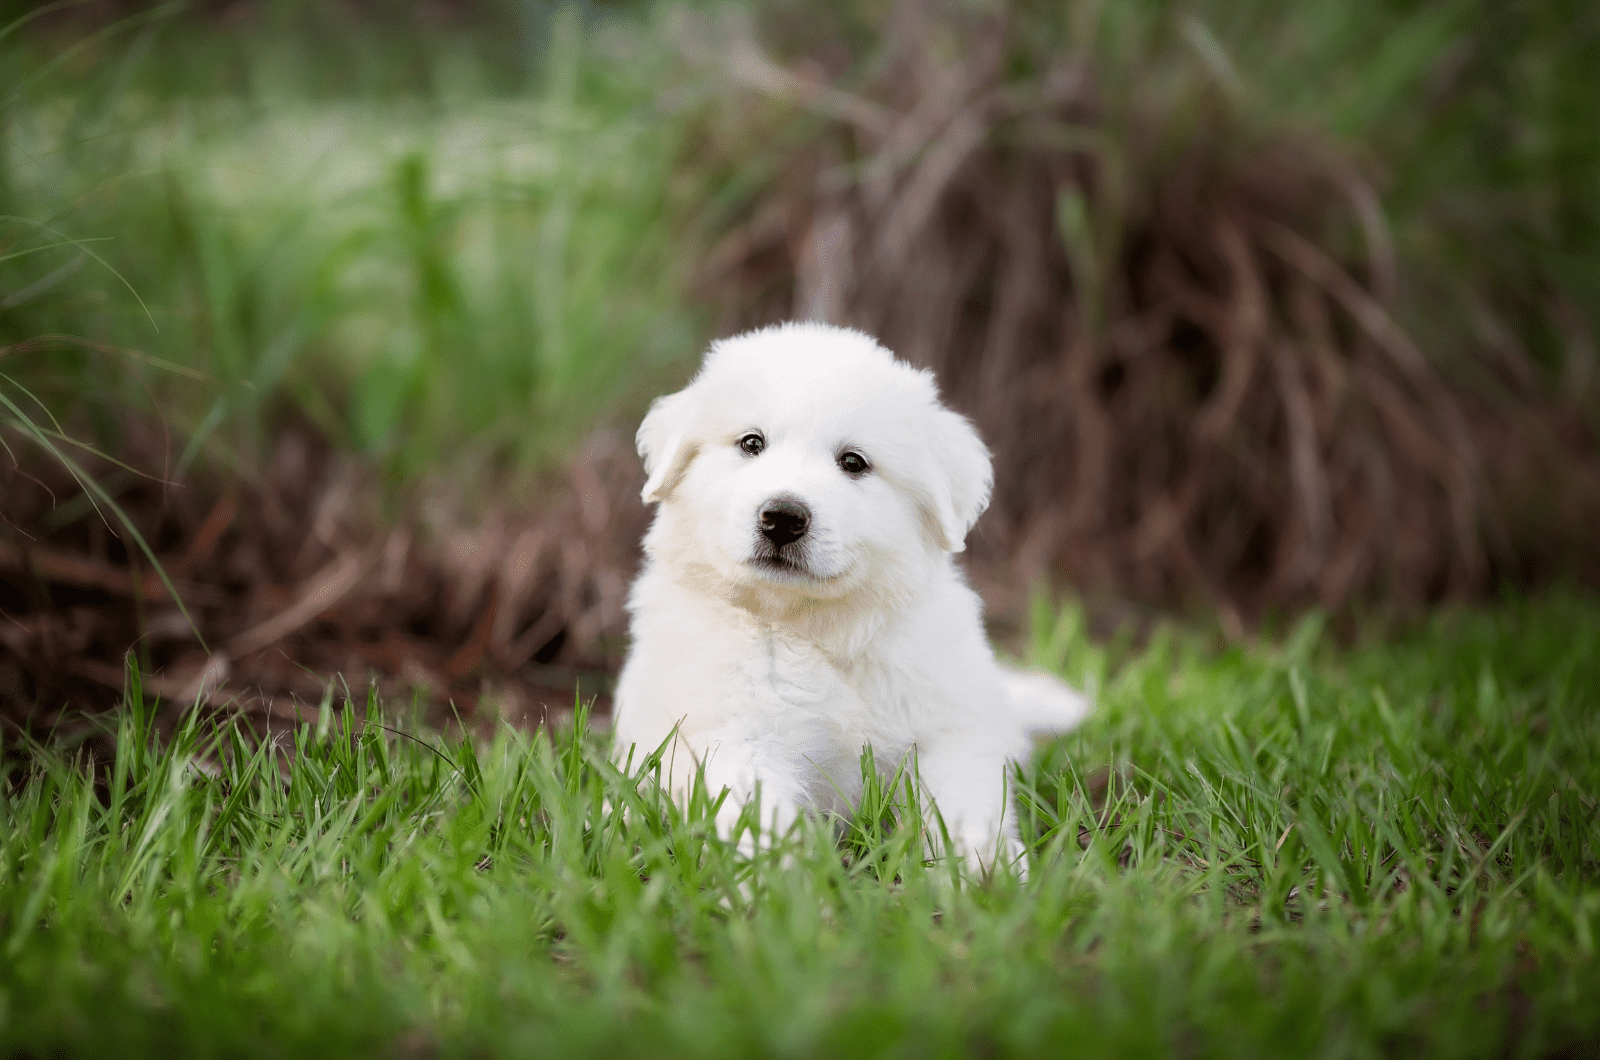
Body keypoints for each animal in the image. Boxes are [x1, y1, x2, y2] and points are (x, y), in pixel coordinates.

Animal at [611, 321, 1088, 871]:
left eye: (853, 463)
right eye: (751, 443)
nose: (782, 517)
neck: (815, 629)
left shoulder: (950, 730)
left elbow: (964, 810)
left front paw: (982, 877)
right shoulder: (735, 734)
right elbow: (759, 816)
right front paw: (779, 884)